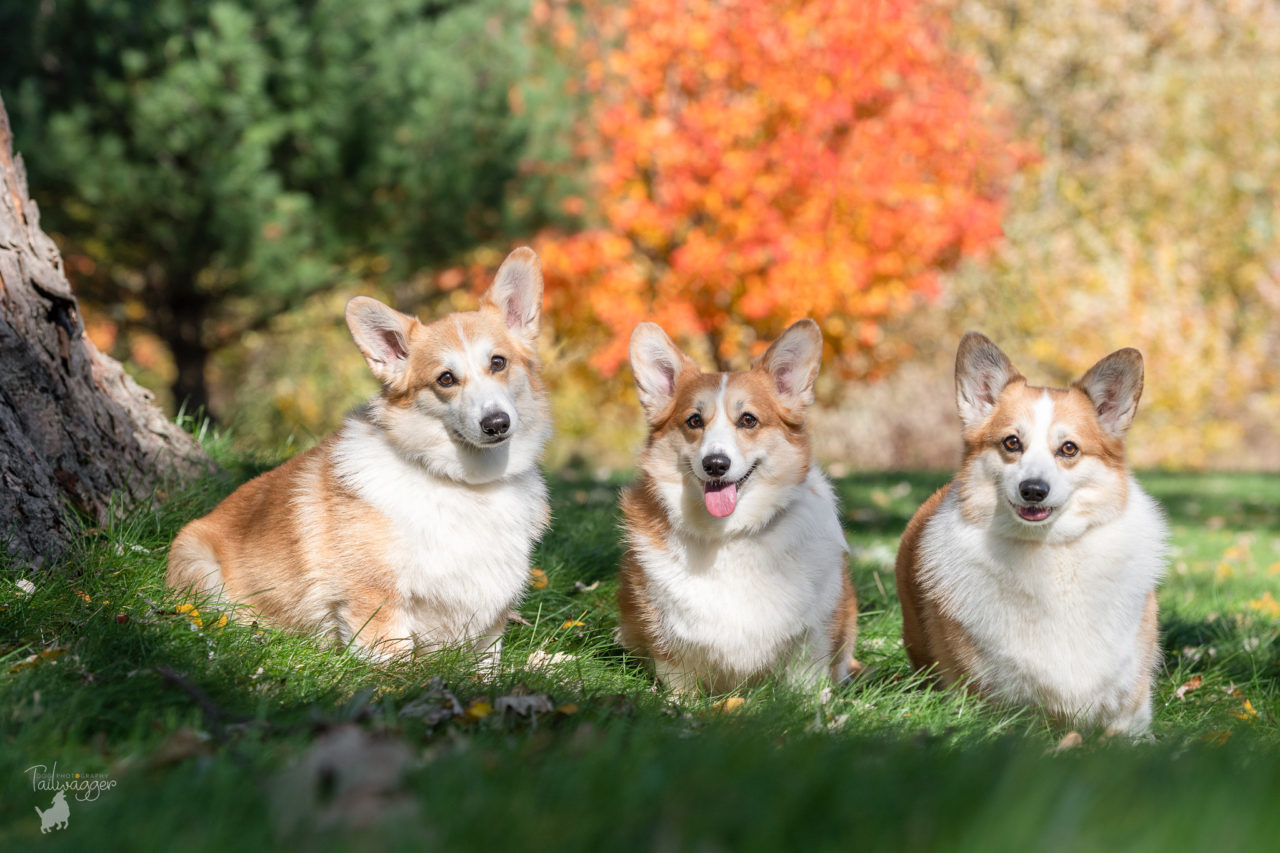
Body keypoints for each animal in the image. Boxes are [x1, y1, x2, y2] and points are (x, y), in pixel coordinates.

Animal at [165, 245, 550, 655]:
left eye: (498, 362)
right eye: (445, 379)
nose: (496, 424)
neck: (467, 484)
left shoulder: (488, 627)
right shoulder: (376, 603)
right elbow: (397, 662)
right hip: (200, 567)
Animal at [616, 318, 860, 691]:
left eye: (748, 420)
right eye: (694, 421)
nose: (716, 464)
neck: (730, 534)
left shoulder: (813, 639)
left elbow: (805, 684)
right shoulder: (670, 644)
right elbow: (679, 680)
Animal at [896, 333, 1167, 732]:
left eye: (1068, 448)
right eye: (1012, 442)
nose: (1034, 490)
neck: (1050, 552)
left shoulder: (1131, 713)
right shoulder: (993, 706)